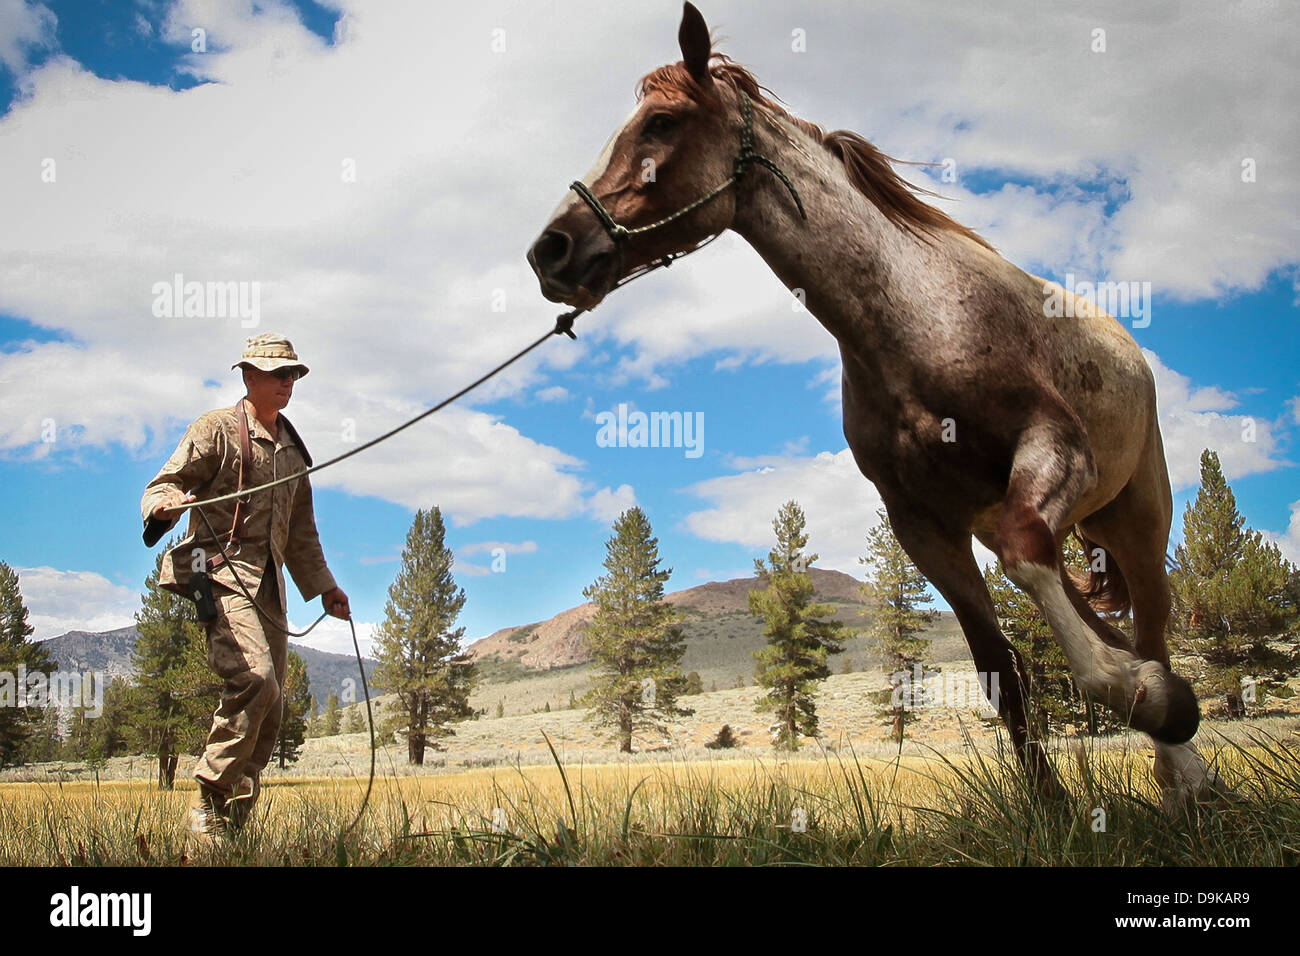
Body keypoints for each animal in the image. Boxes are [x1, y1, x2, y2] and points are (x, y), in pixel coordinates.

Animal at [525, 1, 1227, 816]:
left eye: (661, 123)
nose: (551, 250)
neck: (917, 322)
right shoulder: (922, 523)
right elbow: (998, 667)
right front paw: (1049, 806)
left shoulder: (1055, 449)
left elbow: (1035, 566)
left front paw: (1151, 702)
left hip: (1136, 517)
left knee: (1151, 626)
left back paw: (1182, 771)